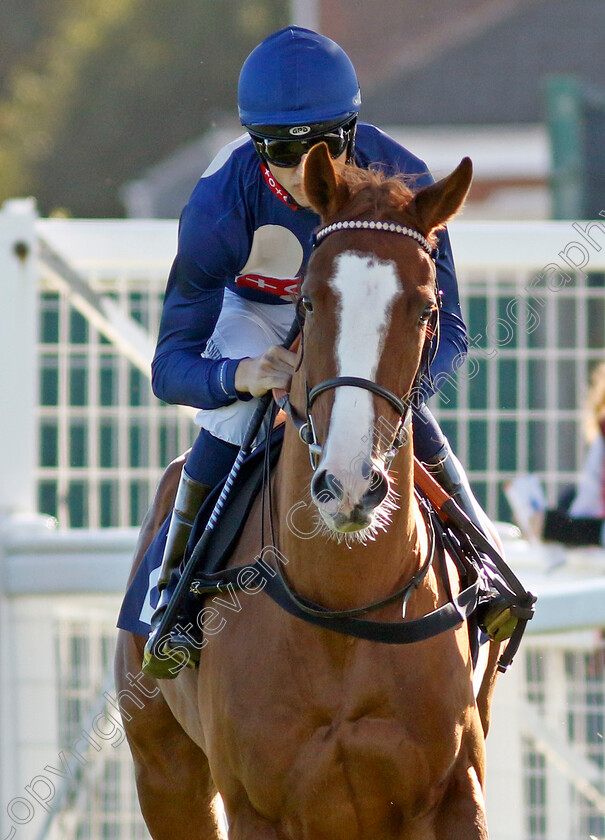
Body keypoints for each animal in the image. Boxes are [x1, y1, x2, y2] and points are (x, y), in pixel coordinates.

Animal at [113, 148, 500, 836]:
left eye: (426, 308)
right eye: (312, 303)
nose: (348, 485)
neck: (341, 602)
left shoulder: (458, 792)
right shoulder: (255, 805)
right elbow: (174, 356)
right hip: (164, 772)